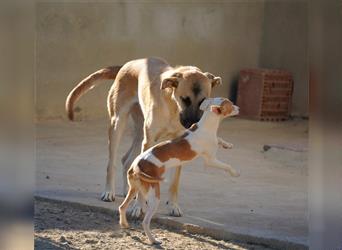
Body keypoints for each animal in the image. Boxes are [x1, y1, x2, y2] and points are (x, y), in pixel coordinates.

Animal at [66, 57, 222, 217]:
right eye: (185, 99)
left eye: (203, 101)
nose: (192, 124)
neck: (173, 107)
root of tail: (127, 64)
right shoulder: (149, 141)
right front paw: (138, 208)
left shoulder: (179, 146)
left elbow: (174, 183)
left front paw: (173, 206)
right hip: (118, 124)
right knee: (112, 163)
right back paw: (109, 192)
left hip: (140, 134)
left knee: (126, 160)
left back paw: (129, 191)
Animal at [119, 97, 239, 244]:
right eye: (230, 105)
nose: (239, 108)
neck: (206, 126)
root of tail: (136, 166)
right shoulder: (210, 160)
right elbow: (226, 166)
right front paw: (234, 173)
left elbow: (219, 139)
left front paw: (227, 144)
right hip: (154, 195)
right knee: (145, 222)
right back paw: (153, 240)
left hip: (134, 189)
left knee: (122, 207)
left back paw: (124, 224)